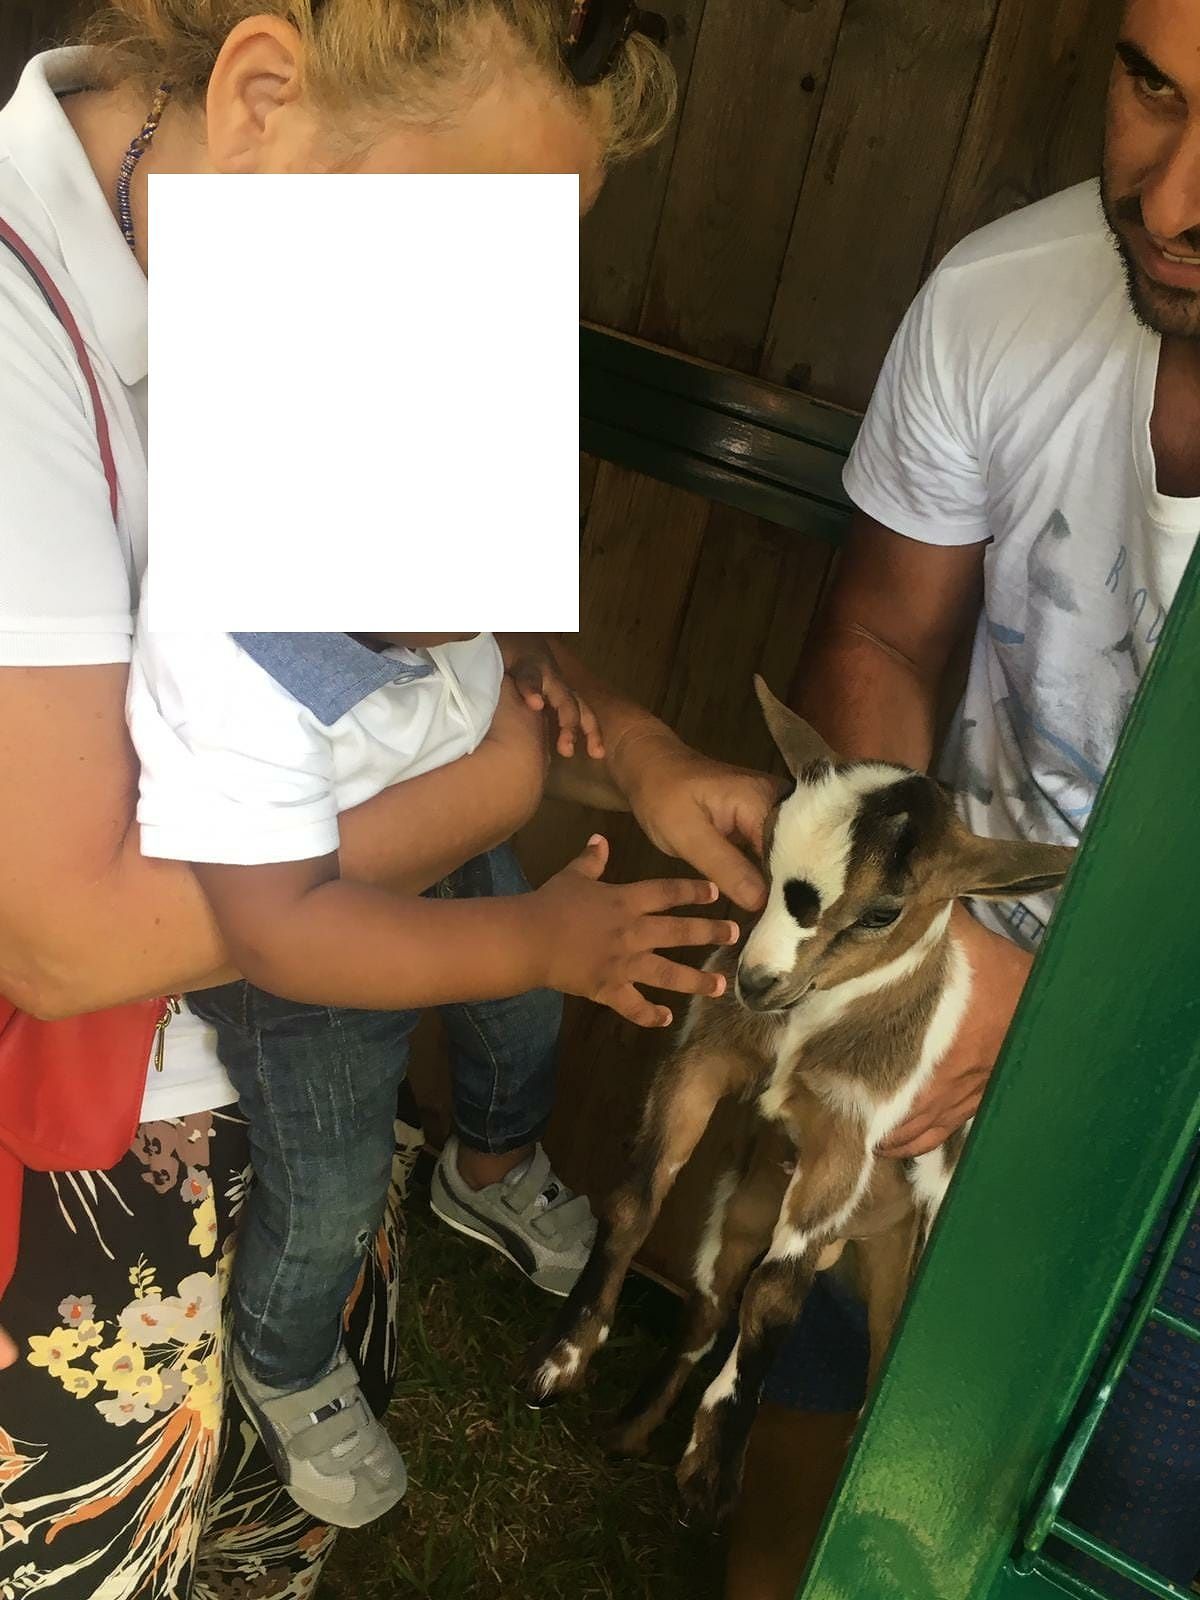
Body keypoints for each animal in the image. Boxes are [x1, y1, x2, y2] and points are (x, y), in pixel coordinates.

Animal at [522, 676, 1074, 1526]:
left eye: (881, 912)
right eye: (764, 845)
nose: (756, 981)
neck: (807, 1026)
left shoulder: (846, 1142)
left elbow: (777, 1301)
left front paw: (714, 1470)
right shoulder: (705, 1057)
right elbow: (635, 1200)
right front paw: (564, 1356)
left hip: (894, 1259)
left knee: (858, 1365)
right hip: (743, 1205)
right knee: (709, 1305)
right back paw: (630, 1429)